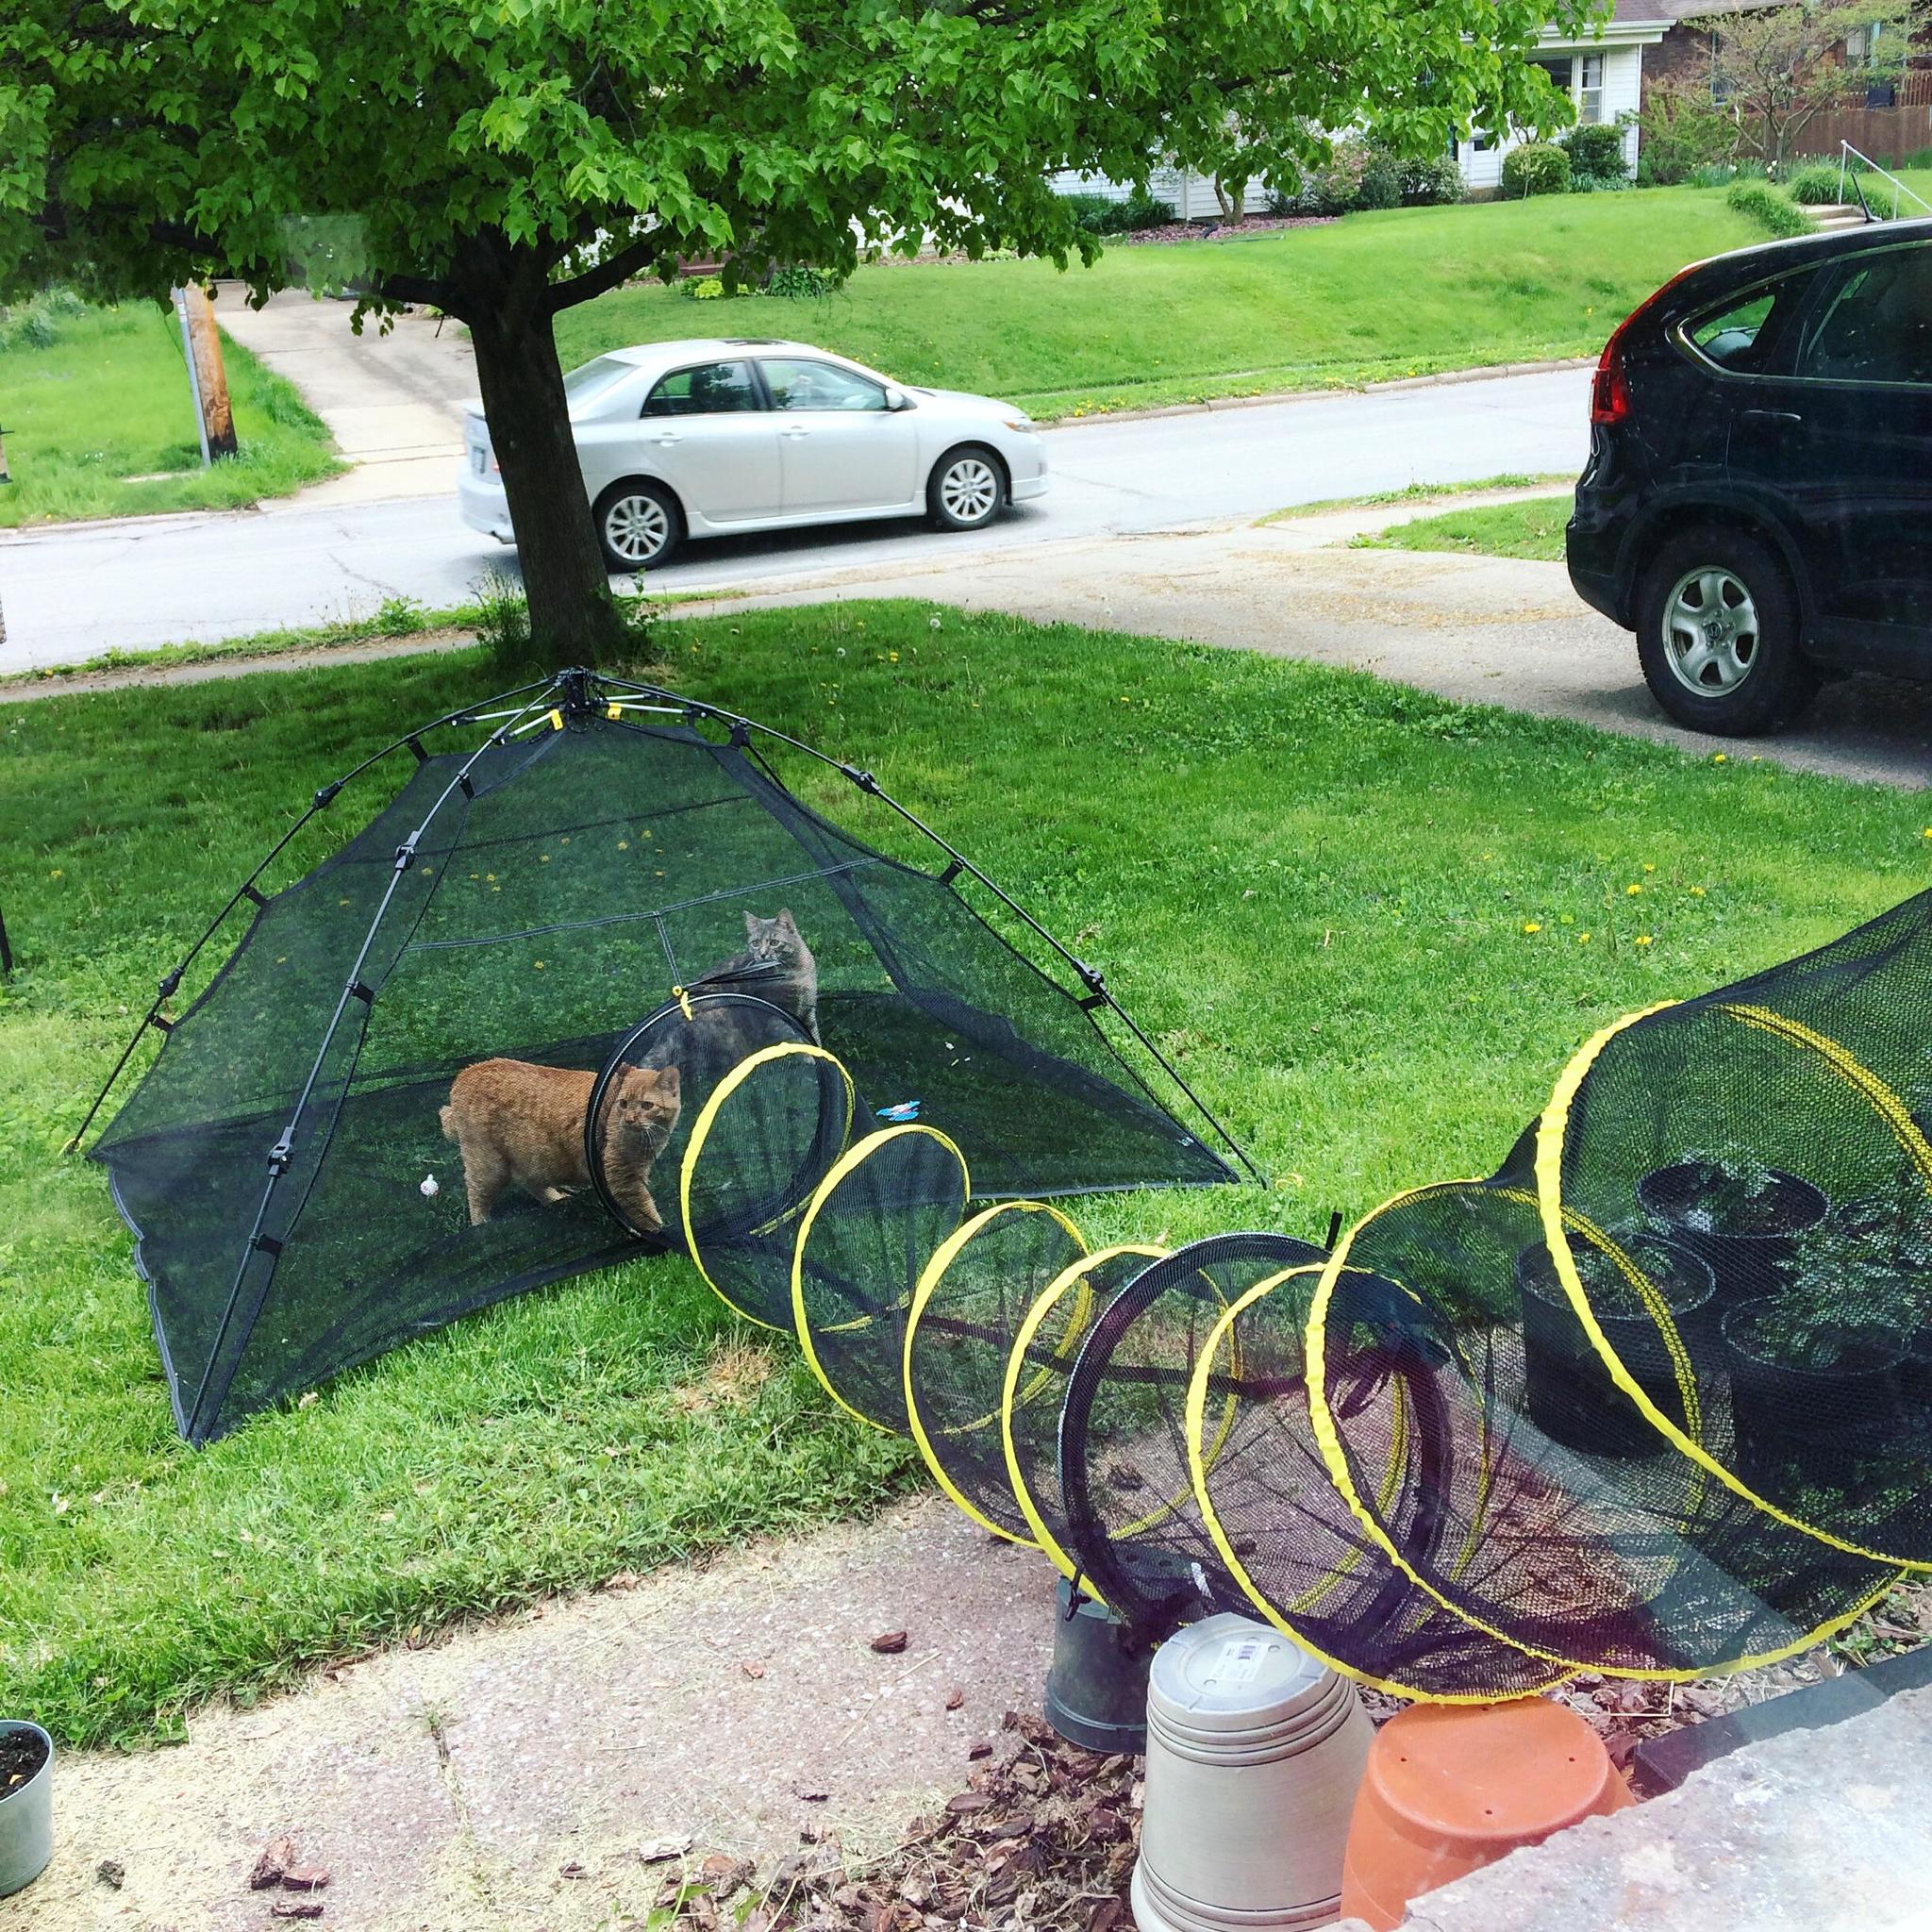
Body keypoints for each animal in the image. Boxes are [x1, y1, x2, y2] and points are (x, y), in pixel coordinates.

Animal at [441, 1066, 683, 1228]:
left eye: (647, 1105)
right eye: (623, 1104)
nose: (631, 1119)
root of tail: (465, 1072)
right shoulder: (623, 1181)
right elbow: (647, 1214)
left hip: (531, 1158)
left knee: (529, 1182)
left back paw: (557, 1199)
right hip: (489, 1167)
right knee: (476, 1195)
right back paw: (481, 1225)